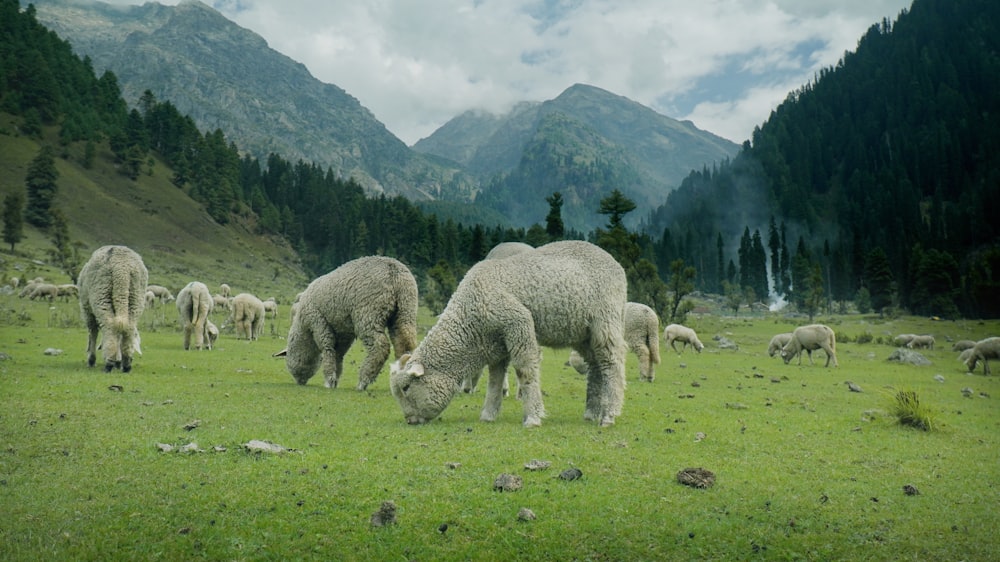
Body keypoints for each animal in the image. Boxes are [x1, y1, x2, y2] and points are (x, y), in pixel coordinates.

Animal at [274, 255, 418, 390]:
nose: (299, 381)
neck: (303, 327)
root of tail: (394, 272)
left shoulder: (318, 321)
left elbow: (327, 348)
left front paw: (329, 380)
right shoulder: (344, 332)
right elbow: (338, 354)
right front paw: (335, 379)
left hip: (368, 314)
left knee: (380, 346)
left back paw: (363, 382)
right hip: (405, 310)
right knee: (405, 342)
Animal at [388, 238, 624, 426]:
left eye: (406, 387)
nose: (410, 420)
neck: (470, 318)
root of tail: (613, 261)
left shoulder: (518, 322)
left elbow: (524, 370)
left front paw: (532, 417)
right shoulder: (497, 343)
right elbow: (495, 379)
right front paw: (488, 415)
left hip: (605, 320)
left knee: (612, 363)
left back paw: (608, 415)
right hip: (582, 333)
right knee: (596, 366)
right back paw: (592, 412)